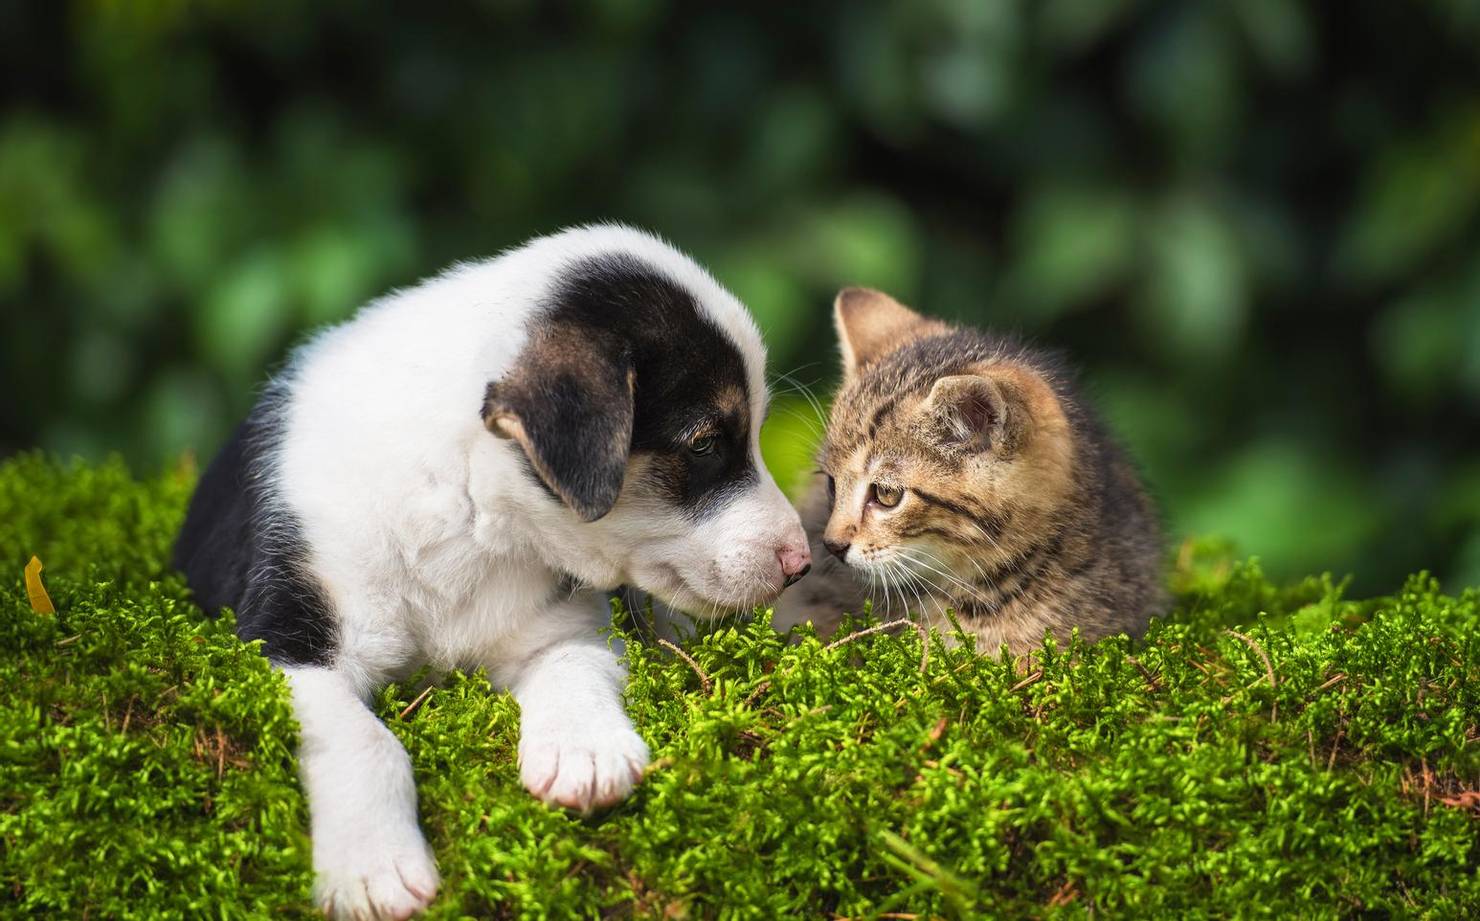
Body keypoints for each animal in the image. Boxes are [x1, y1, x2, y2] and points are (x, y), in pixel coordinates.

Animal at [182, 225, 822, 921]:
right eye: (704, 443)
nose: (801, 563)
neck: (469, 512)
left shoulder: (563, 625)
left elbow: (574, 671)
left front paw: (585, 753)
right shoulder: (288, 641)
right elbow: (362, 738)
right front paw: (373, 868)